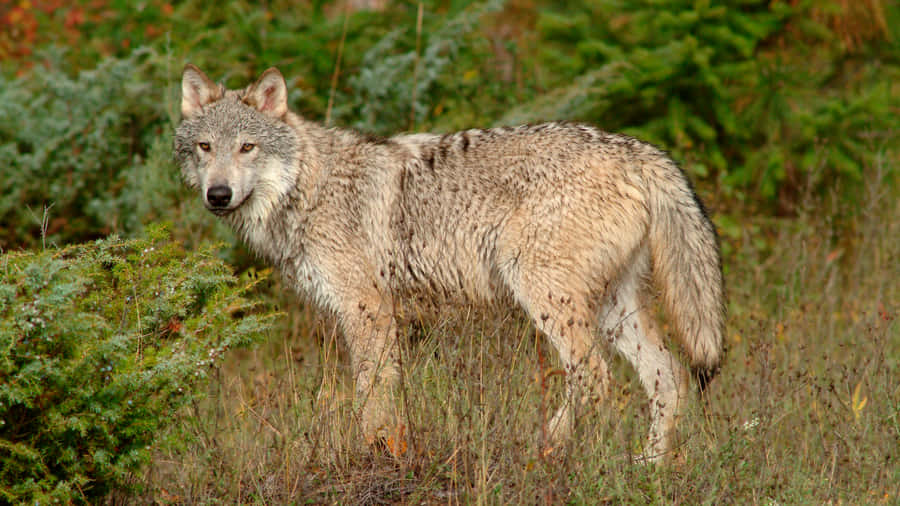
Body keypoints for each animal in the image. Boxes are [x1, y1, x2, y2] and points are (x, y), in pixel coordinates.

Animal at [174, 64, 725, 462]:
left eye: (248, 148)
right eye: (206, 148)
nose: (217, 195)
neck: (308, 188)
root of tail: (639, 150)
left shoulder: (368, 312)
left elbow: (371, 399)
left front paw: (373, 457)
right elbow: (388, 399)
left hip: (546, 297)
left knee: (594, 378)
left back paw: (547, 447)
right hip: (614, 311)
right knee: (671, 379)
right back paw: (647, 470)